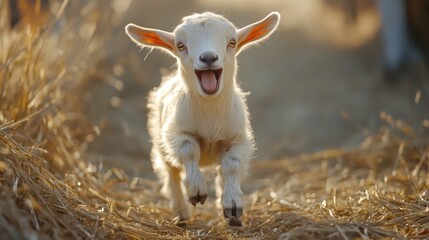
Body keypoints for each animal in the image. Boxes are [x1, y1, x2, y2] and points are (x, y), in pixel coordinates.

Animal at [125, 10, 280, 225]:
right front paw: (197, 191)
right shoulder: (176, 133)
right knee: (171, 173)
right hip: (159, 141)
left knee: (221, 173)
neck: (210, 115)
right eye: (181, 45)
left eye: (232, 42)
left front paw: (232, 205)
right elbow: (189, 151)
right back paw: (182, 211)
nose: (208, 57)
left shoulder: (238, 139)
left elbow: (232, 166)